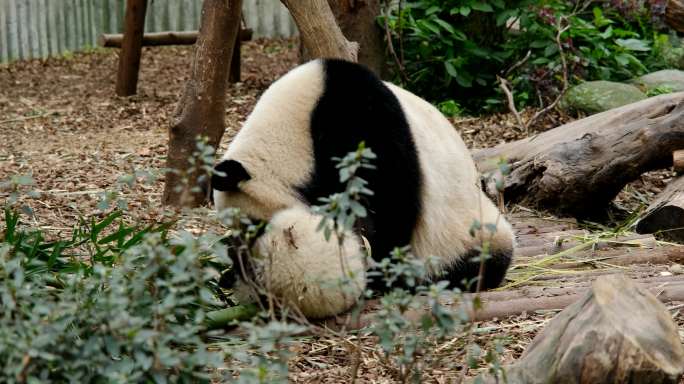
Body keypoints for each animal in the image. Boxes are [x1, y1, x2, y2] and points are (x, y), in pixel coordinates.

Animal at [212, 58, 512, 320]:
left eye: (252, 225)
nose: (237, 253)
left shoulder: (362, 120)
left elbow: (391, 201)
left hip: (468, 231)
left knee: (477, 264)